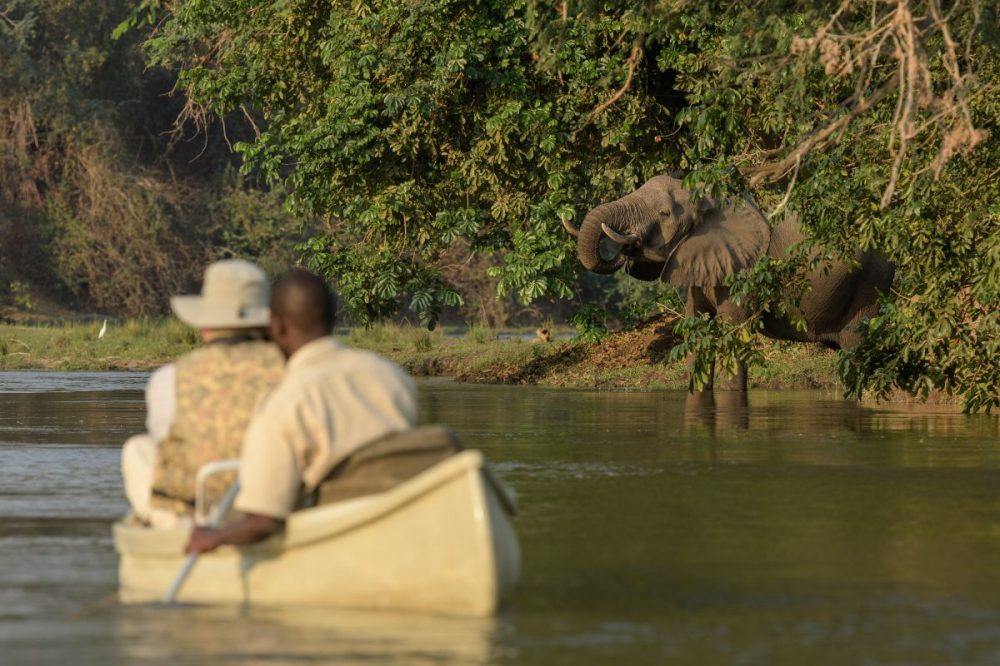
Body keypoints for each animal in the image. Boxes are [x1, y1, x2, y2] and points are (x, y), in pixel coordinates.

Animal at [564, 175, 900, 390]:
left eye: (663, 213)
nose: (627, 247)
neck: (709, 198)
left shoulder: (743, 274)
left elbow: (732, 331)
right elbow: (696, 326)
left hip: (870, 284)